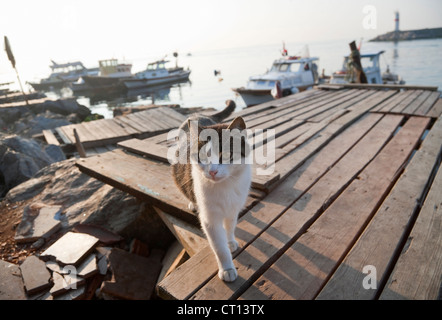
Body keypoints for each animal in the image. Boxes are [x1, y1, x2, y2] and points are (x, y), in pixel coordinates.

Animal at [171, 100, 250, 282]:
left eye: (226, 155)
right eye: (203, 157)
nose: (212, 171)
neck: (225, 186)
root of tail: (197, 114)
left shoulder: (233, 208)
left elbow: (230, 226)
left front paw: (230, 241)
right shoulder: (210, 218)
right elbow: (219, 246)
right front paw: (227, 268)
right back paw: (192, 203)